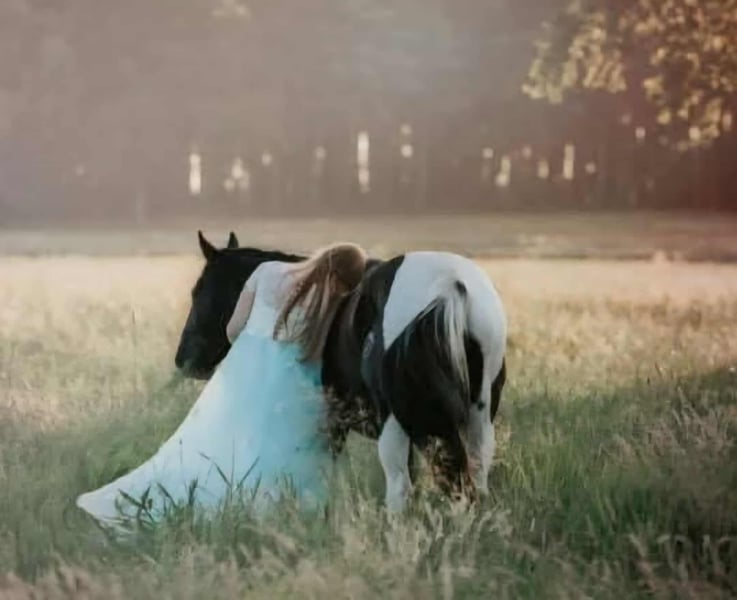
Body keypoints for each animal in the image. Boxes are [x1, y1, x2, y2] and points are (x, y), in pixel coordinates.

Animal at [175, 231, 507, 511]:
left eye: (198, 291)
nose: (184, 360)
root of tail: (452, 285)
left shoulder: (332, 423)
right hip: (477, 416)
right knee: (476, 475)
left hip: (397, 422)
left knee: (401, 485)